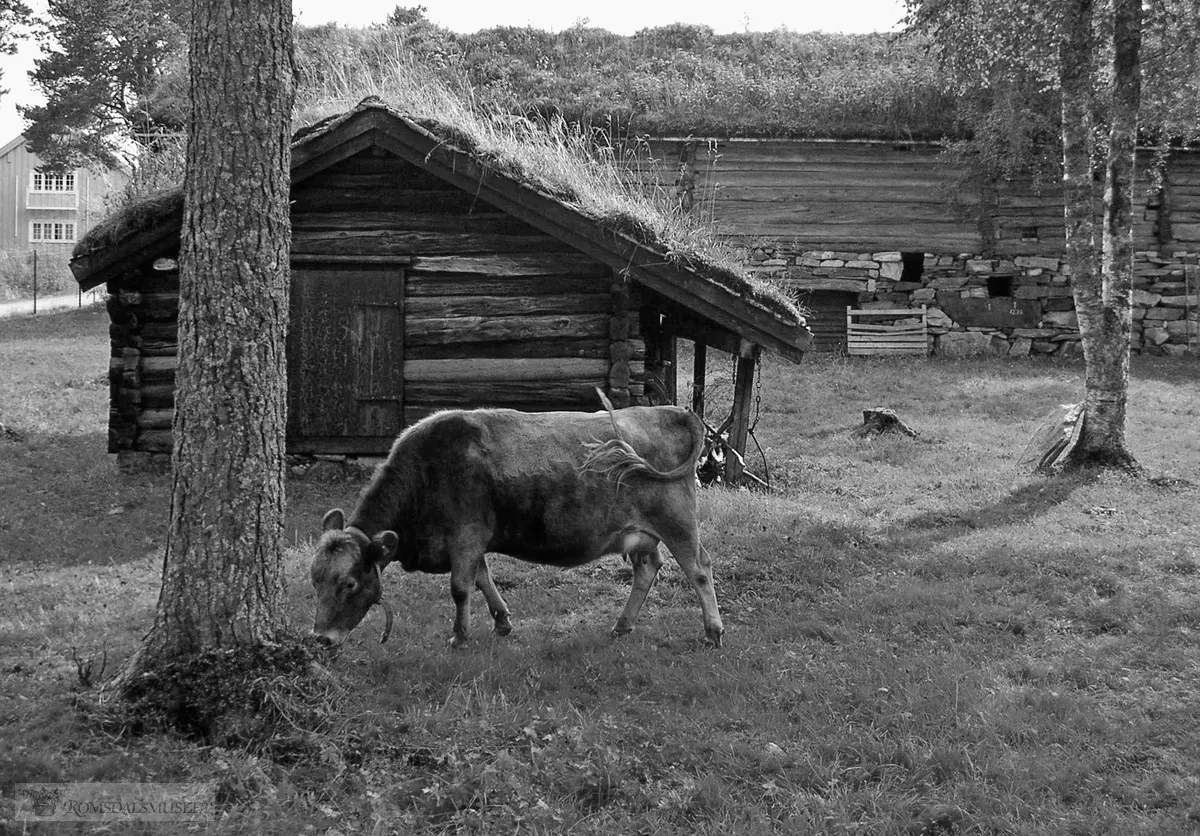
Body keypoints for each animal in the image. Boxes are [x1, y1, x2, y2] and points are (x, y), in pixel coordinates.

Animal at [309, 393, 720, 647]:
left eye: (348, 583)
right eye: (315, 580)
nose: (321, 638)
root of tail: (673, 411)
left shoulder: (465, 535)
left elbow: (460, 587)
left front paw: (459, 637)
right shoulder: (471, 542)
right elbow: (482, 578)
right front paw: (501, 622)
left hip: (677, 521)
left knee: (699, 569)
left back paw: (713, 631)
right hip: (639, 533)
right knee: (648, 568)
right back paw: (622, 626)